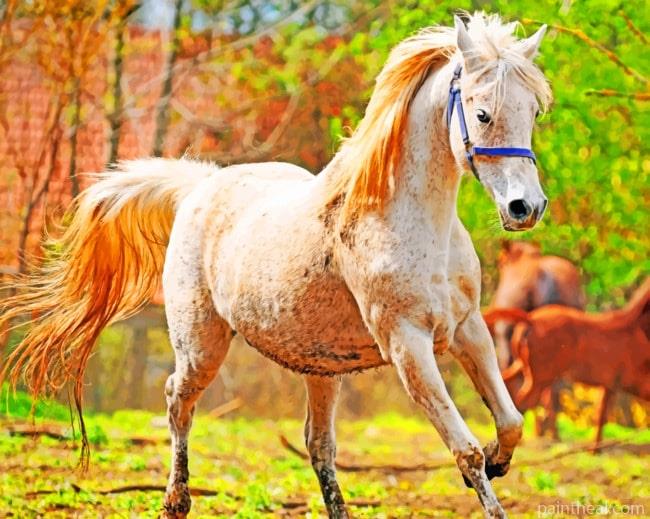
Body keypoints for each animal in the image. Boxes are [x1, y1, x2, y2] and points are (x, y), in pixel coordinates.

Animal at [0, 14, 552, 519]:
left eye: (532, 112)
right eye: (482, 114)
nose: (526, 208)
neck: (409, 221)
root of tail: (200, 187)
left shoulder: (467, 329)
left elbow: (510, 422)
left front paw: (502, 460)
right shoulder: (408, 346)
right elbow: (466, 452)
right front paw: (488, 471)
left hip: (321, 367)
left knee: (318, 445)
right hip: (201, 347)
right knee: (178, 400)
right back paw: (175, 501)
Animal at [484, 279, 650, 448]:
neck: (639, 329)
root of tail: (531, 319)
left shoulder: (611, 384)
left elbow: (600, 415)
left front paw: (595, 449)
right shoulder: (629, 381)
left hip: (523, 368)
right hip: (541, 378)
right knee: (523, 401)